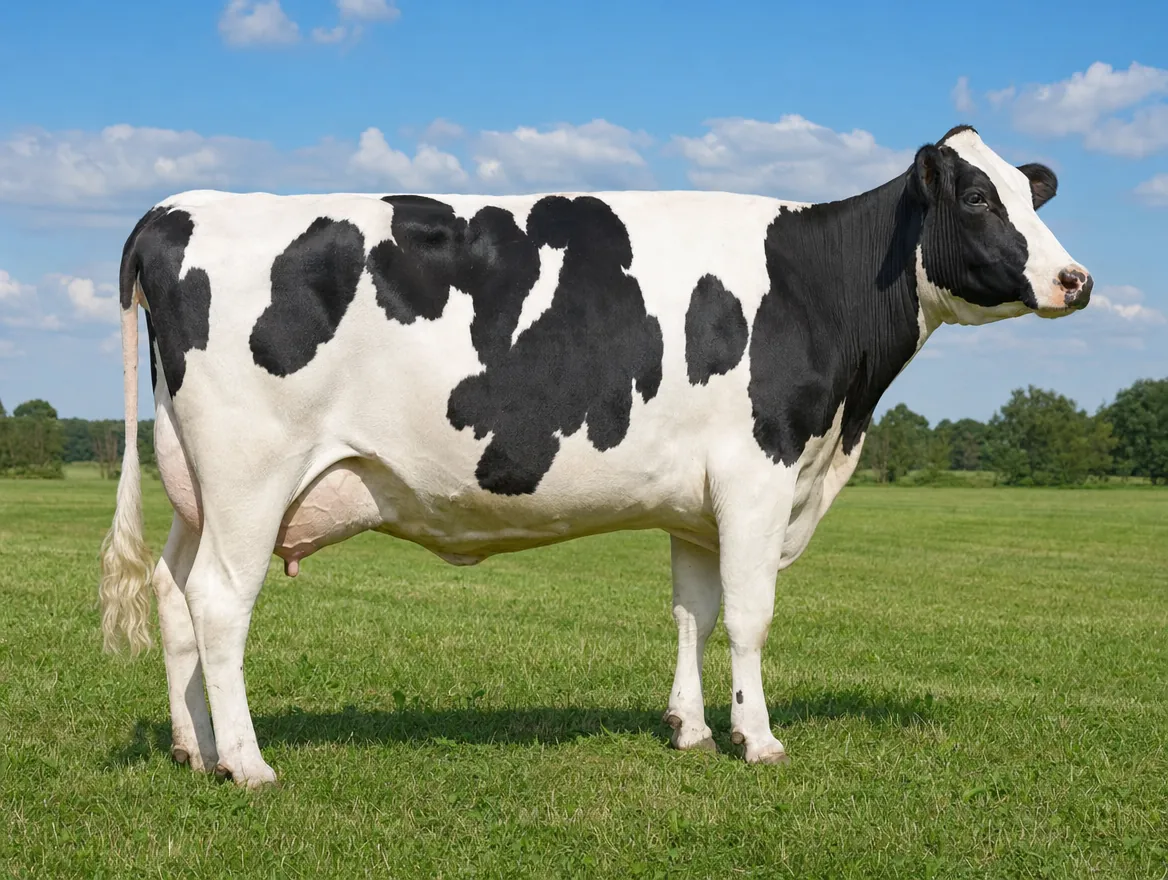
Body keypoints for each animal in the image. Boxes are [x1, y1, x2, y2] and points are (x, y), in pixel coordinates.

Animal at [100, 125, 1092, 787]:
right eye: (978, 198)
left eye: (1032, 194)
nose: (1076, 280)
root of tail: (179, 207)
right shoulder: (757, 474)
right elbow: (750, 617)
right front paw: (759, 740)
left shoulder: (698, 502)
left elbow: (694, 613)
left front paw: (692, 729)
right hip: (250, 474)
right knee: (219, 603)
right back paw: (248, 763)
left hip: (194, 483)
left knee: (174, 596)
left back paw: (194, 750)